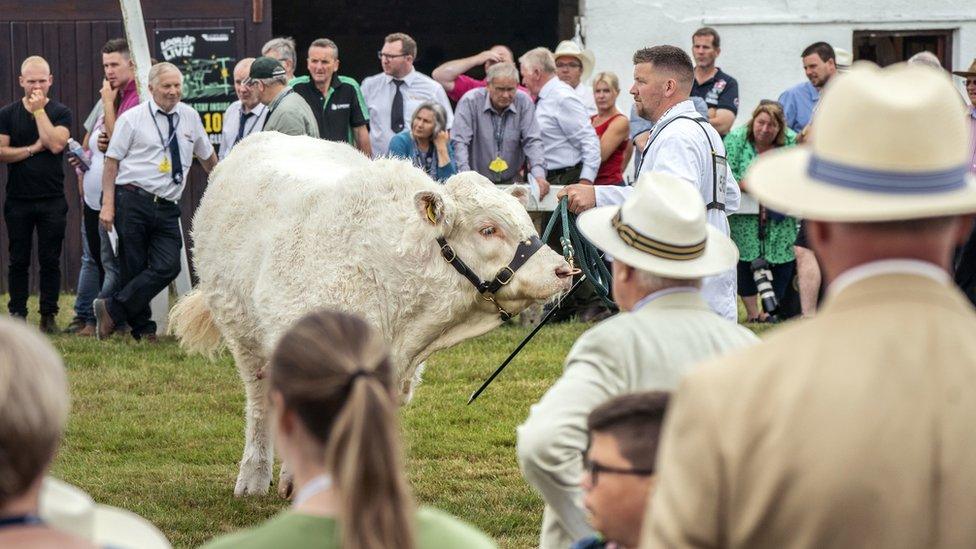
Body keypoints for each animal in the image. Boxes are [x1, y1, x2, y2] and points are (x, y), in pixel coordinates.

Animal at [170, 132, 572, 496]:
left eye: (525, 220)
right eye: (488, 229)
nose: (563, 270)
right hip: (243, 336)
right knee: (257, 404)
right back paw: (253, 478)